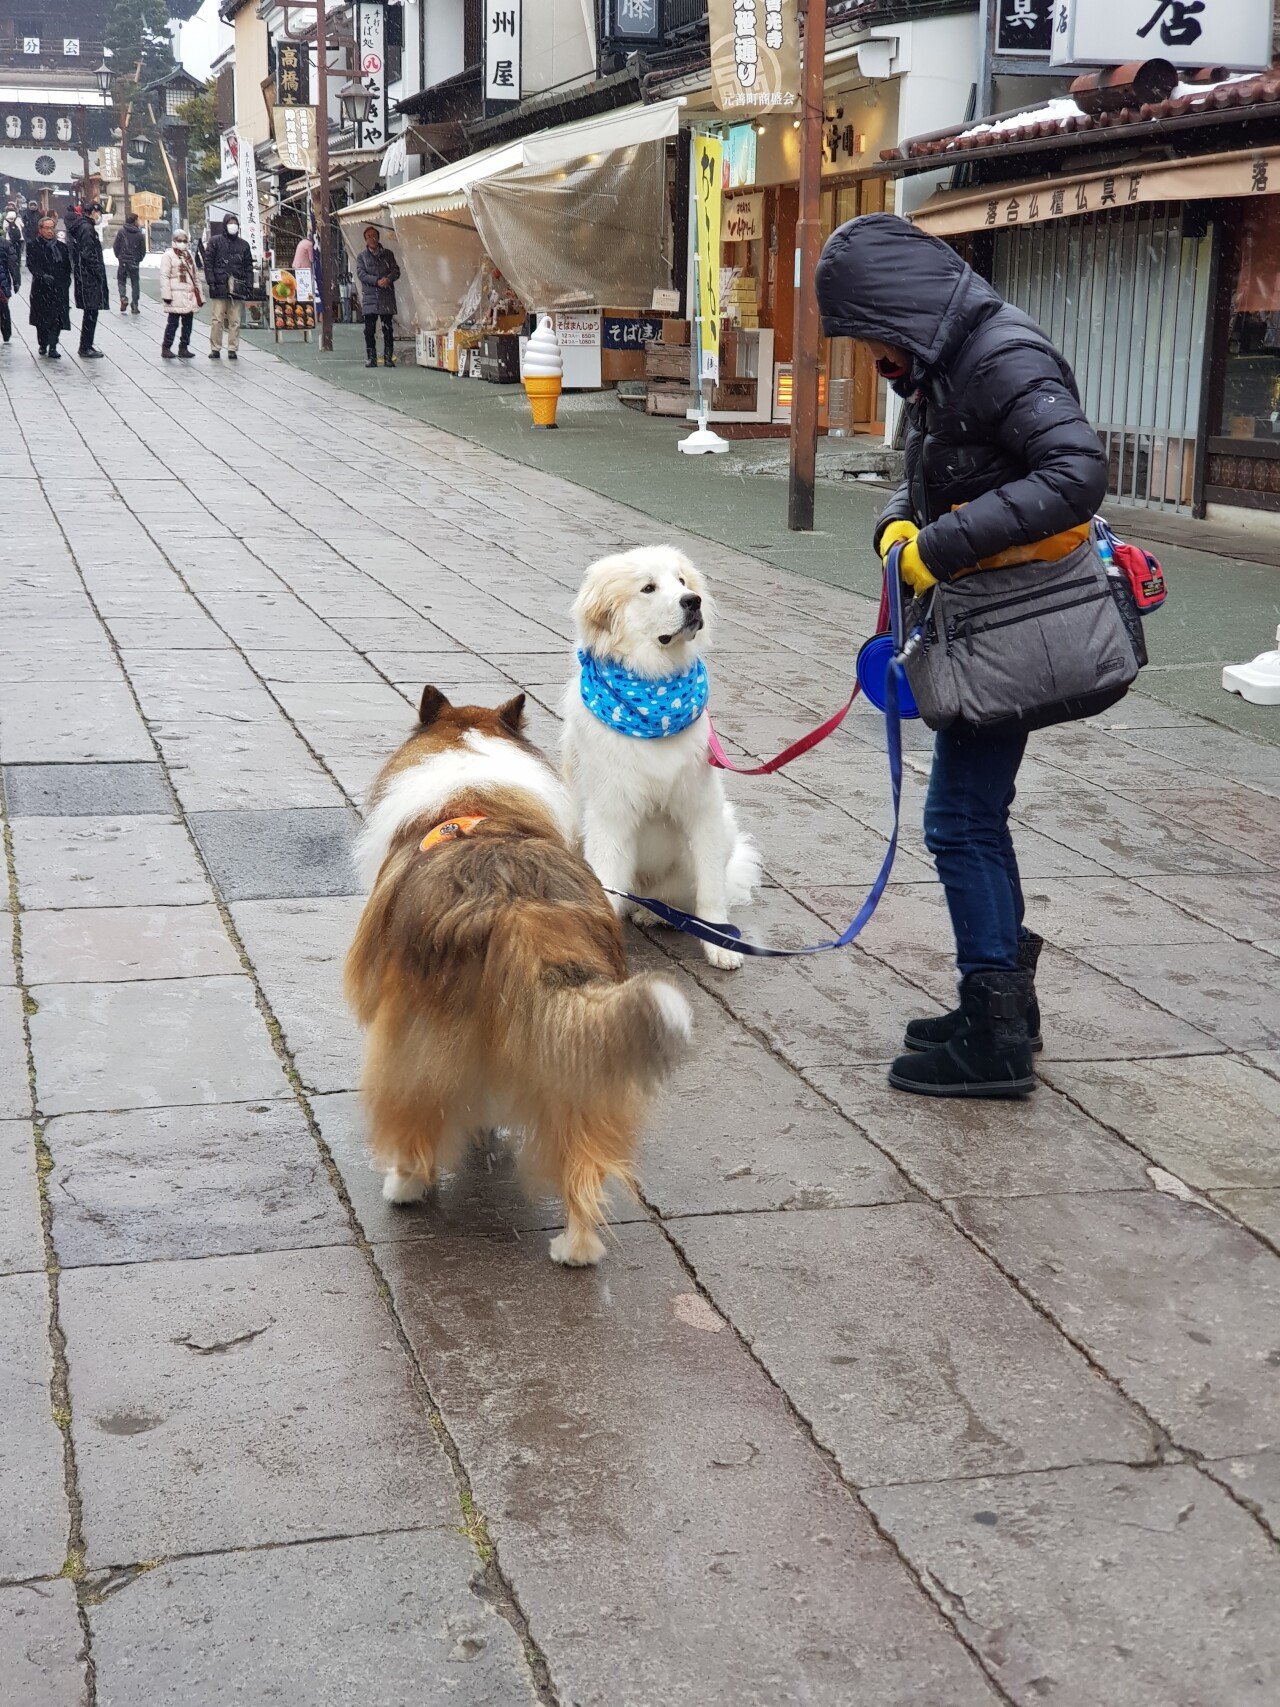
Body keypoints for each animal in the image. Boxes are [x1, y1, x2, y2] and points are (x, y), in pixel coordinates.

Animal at [346, 686, 696, 1263]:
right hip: (575, 1046)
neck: (472, 783)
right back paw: (577, 1247)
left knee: (416, 1114)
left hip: (416, 1036)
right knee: (581, 1158)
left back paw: (405, 1186)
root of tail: (520, 909)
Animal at [563, 549, 761, 976]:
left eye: (683, 582)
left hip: (724, 829)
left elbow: (710, 892)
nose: (693, 602)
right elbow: (605, 881)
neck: (654, 691)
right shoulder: (611, 815)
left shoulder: (703, 810)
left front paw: (720, 945)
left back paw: (655, 914)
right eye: (648, 588)